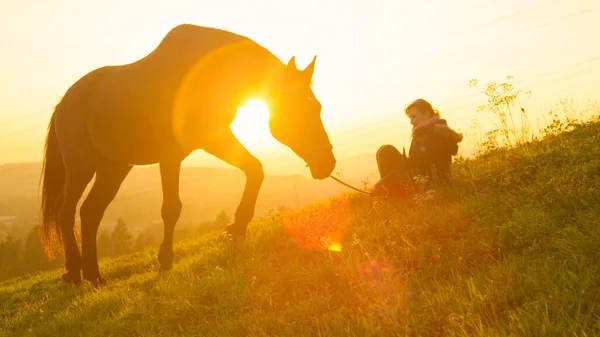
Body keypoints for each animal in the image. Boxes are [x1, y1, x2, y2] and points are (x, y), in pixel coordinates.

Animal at [39, 25, 336, 284]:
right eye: (298, 109)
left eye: (318, 107)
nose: (327, 163)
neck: (206, 73)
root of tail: (64, 102)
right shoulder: (171, 156)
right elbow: (171, 208)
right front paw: (165, 260)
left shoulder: (214, 138)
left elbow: (255, 169)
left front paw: (237, 229)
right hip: (80, 166)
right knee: (67, 212)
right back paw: (74, 270)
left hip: (114, 168)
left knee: (90, 213)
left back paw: (94, 275)